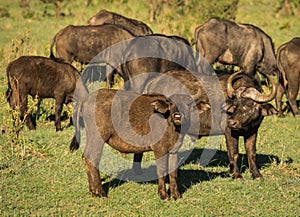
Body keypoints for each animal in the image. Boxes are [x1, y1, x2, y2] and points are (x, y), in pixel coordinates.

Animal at [68, 88, 199, 200]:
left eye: (188, 104)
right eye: (171, 104)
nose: (178, 116)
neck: (171, 125)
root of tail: (85, 100)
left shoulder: (173, 151)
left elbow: (173, 173)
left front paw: (176, 195)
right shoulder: (160, 150)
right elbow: (162, 171)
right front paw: (163, 195)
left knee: (86, 158)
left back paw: (93, 191)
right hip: (98, 138)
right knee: (93, 160)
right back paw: (100, 192)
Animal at [132, 69, 278, 180]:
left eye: (249, 104)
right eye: (235, 104)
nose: (232, 122)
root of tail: (152, 82)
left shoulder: (253, 131)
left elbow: (251, 153)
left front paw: (256, 174)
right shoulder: (229, 132)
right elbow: (234, 153)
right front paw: (236, 175)